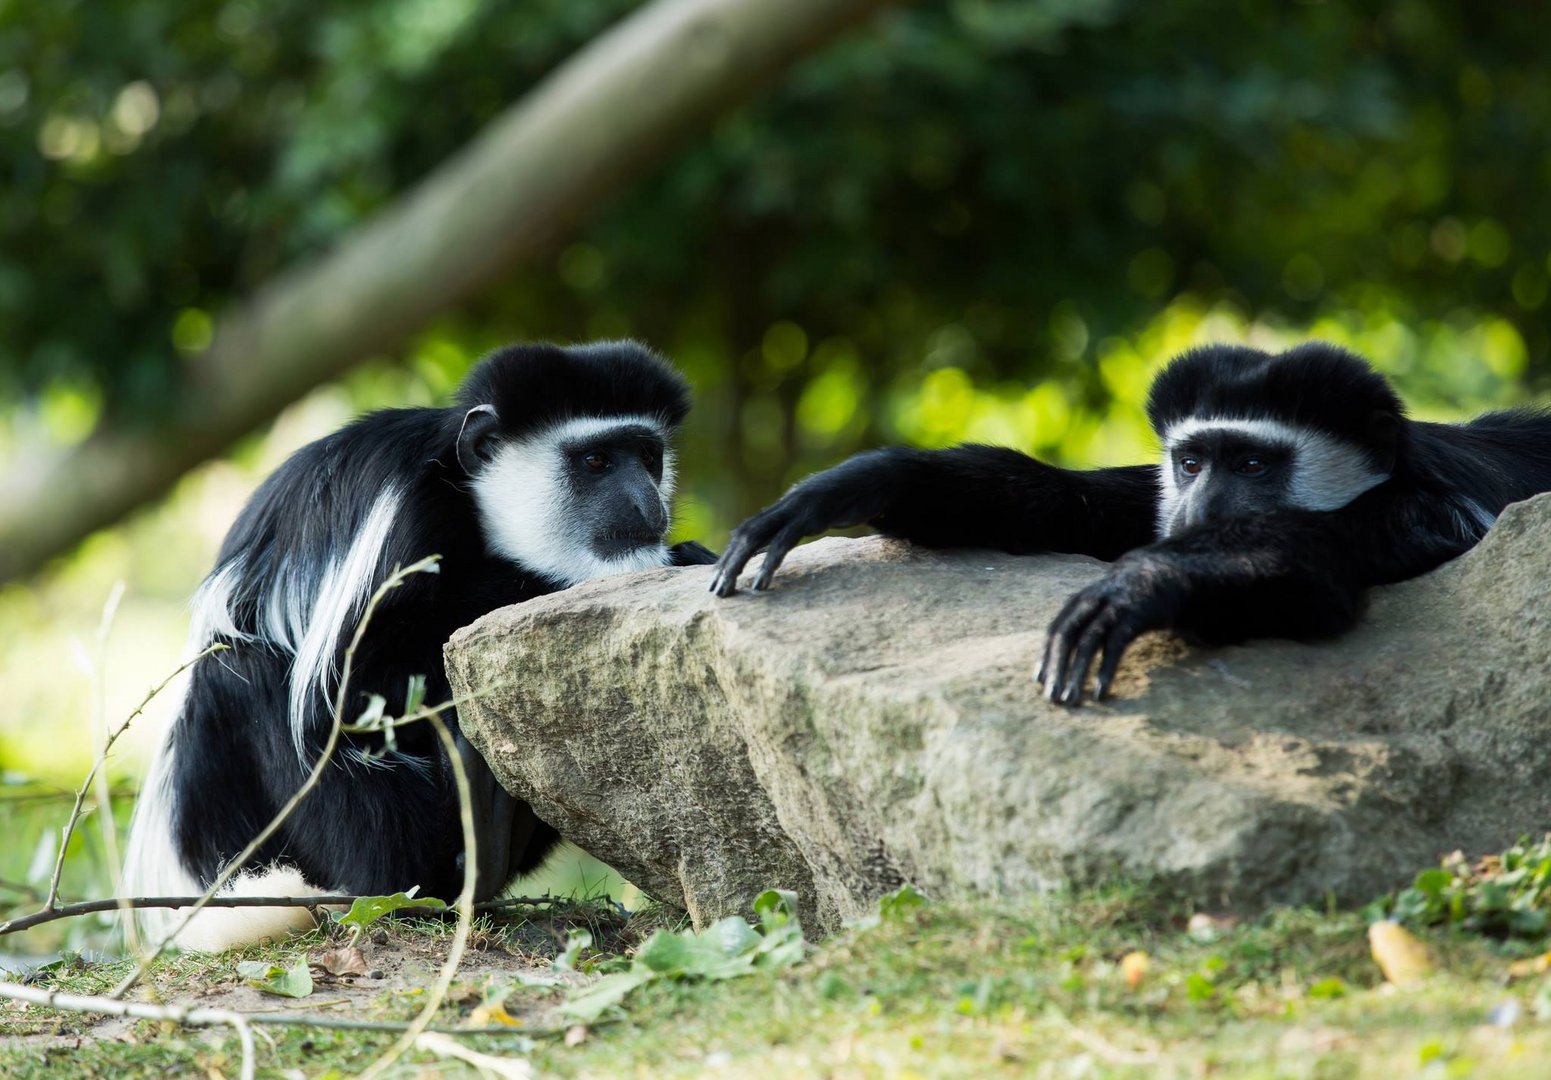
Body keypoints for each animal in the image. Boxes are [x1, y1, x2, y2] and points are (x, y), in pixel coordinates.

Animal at [124, 341, 710, 949]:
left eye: (647, 457)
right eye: (595, 462)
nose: (649, 505)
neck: (470, 501)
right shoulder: (401, 517)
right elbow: (348, 692)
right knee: (245, 674)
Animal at [710, 341, 1551, 704]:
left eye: (1253, 465)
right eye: (1192, 463)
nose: (1201, 508)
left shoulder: (1415, 516)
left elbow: (1303, 573)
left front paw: (1128, 595)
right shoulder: (1150, 501)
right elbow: (1064, 503)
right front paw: (851, 484)